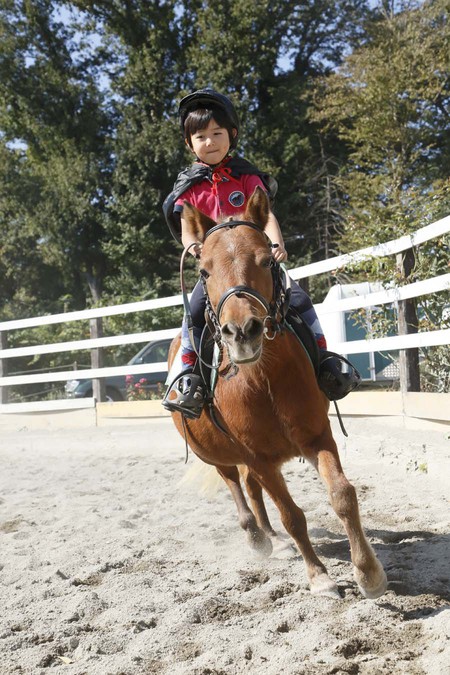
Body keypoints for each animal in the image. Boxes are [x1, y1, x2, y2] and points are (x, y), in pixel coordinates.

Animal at [169, 187, 386, 600]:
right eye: (204, 270)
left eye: (267, 260)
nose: (242, 331)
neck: (262, 381)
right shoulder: (257, 456)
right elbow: (292, 515)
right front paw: (319, 576)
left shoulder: (317, 436)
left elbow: (343, 496)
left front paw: (368, 573)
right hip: (217, 455)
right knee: (236, 488)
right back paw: (256, 536)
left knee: (254, 492)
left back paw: (271, 536)